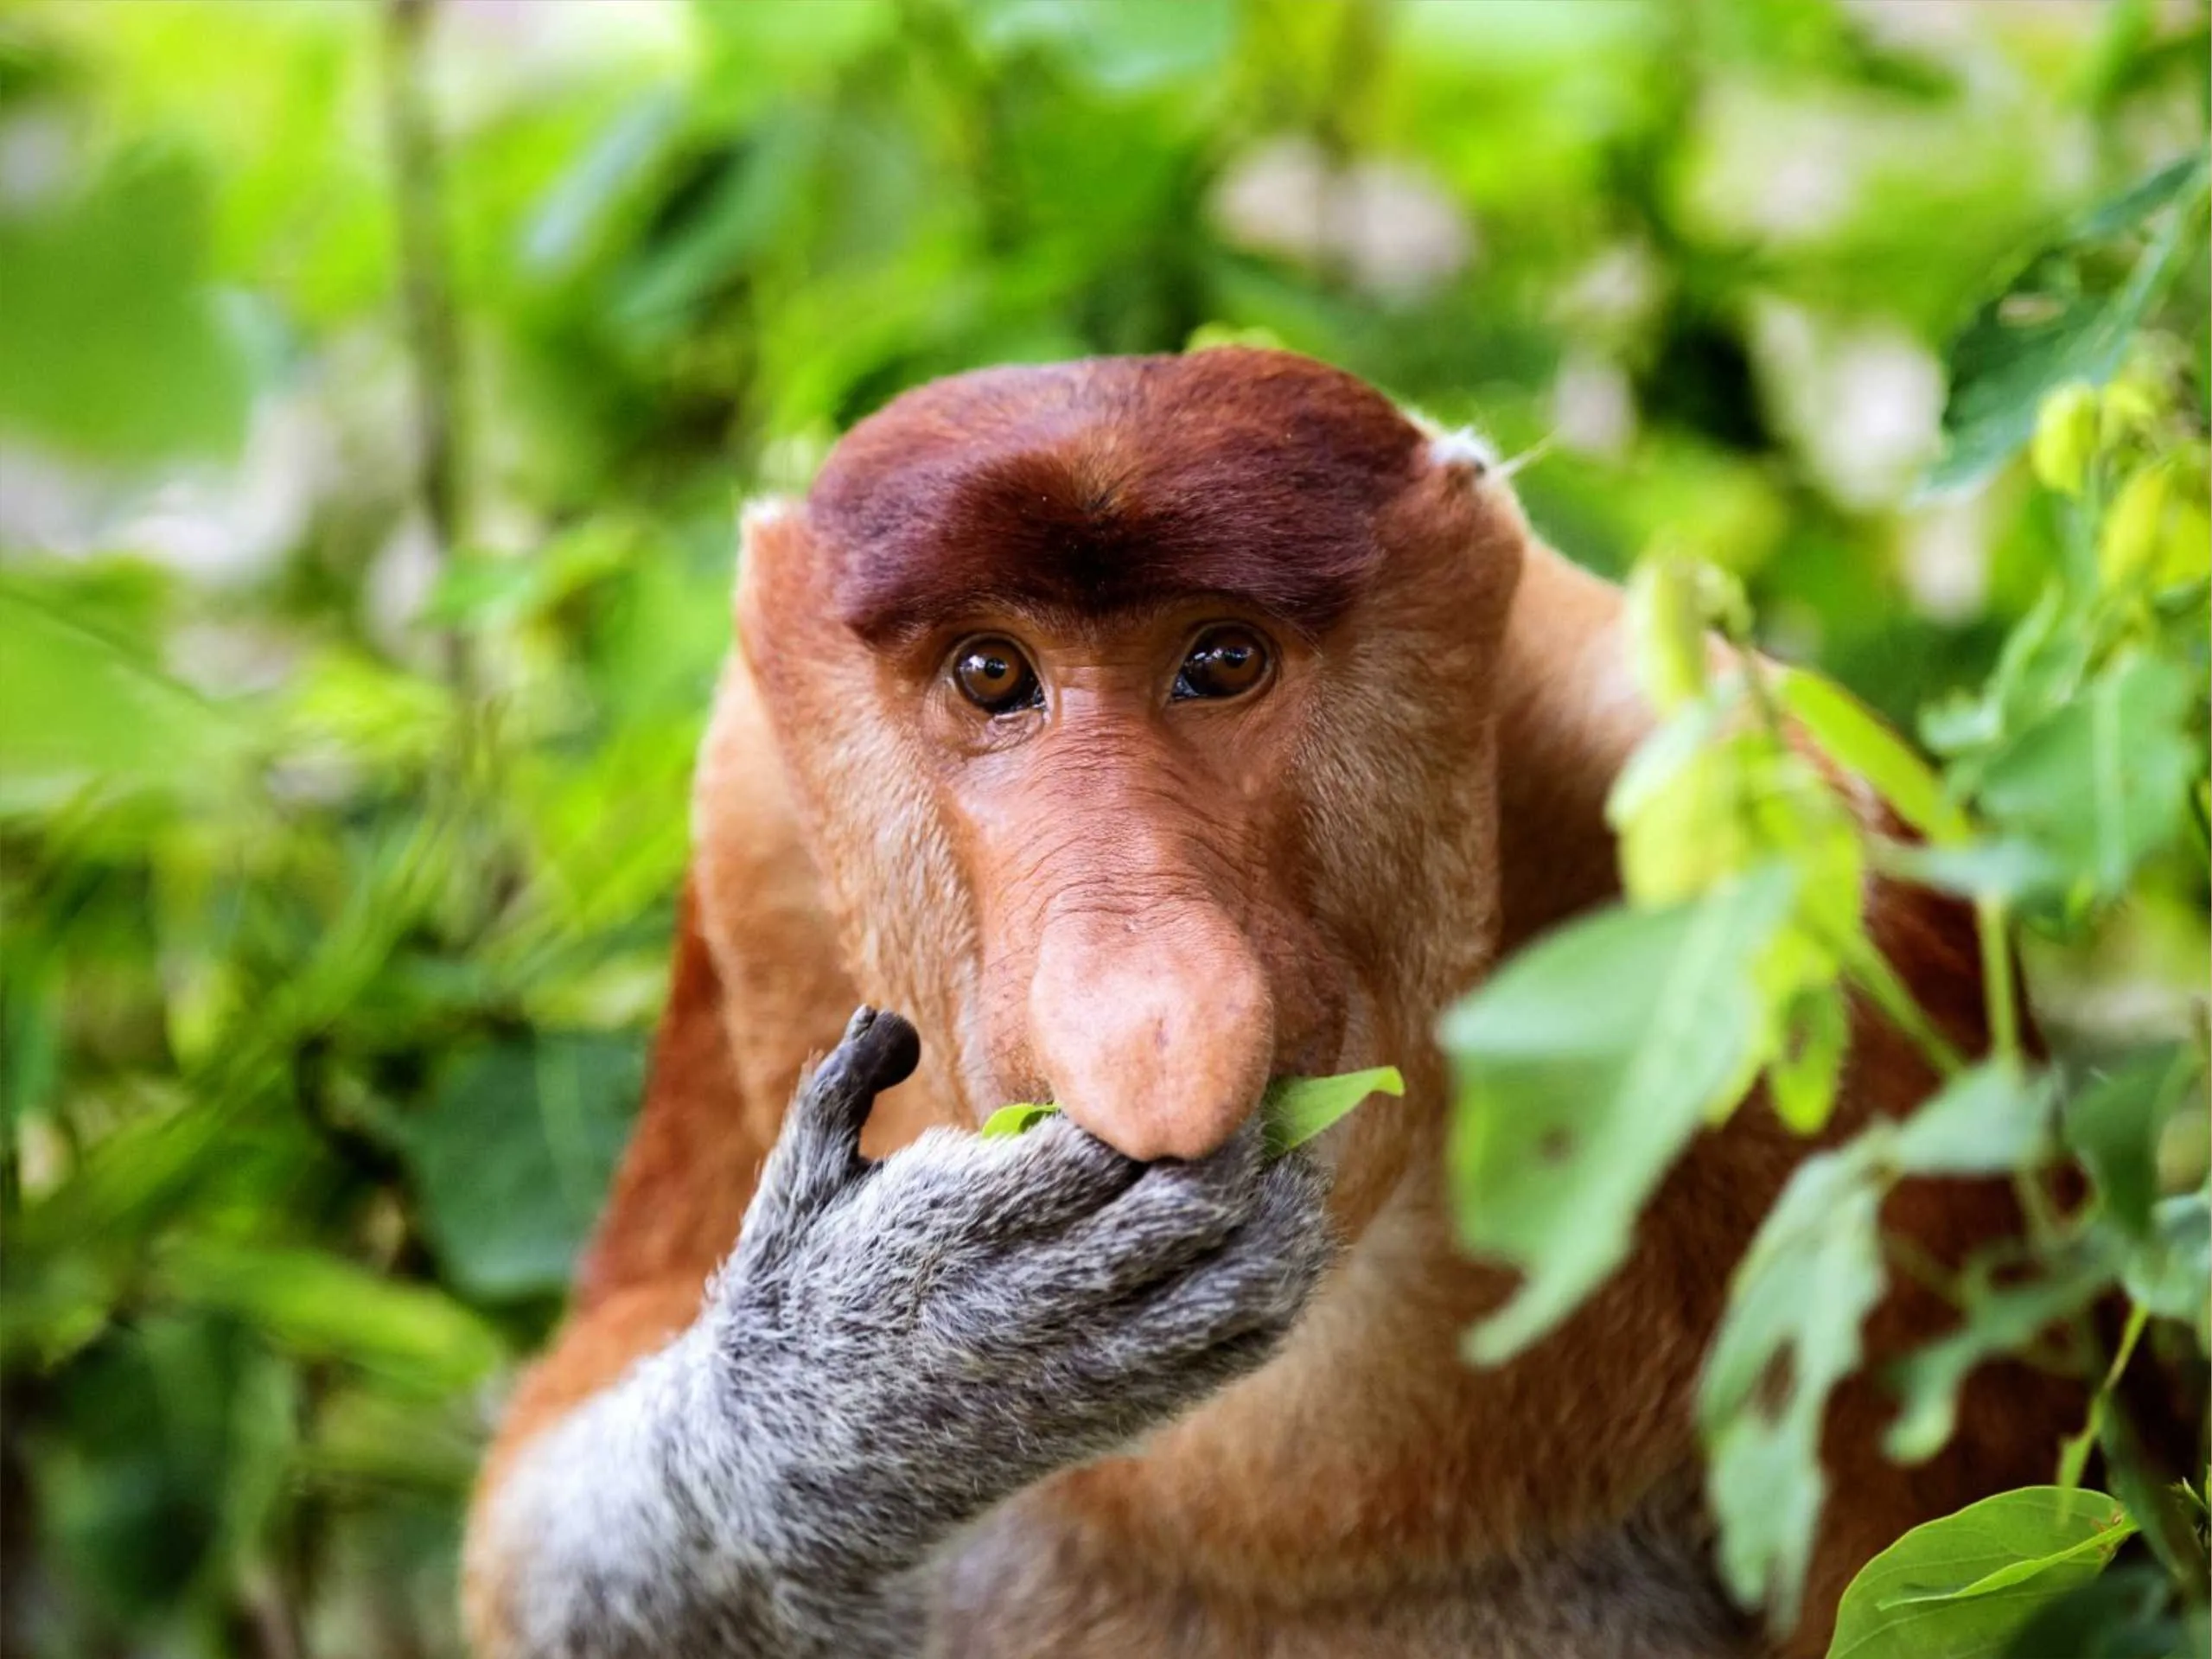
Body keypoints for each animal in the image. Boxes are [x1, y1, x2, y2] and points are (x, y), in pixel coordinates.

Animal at [457, 351, 2079, 1659]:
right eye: (990, 672)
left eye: (1220, 657)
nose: (1151, 1018)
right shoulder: (752, 834)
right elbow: (541, 1498)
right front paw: (896, 1366)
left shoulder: (1816, 912)